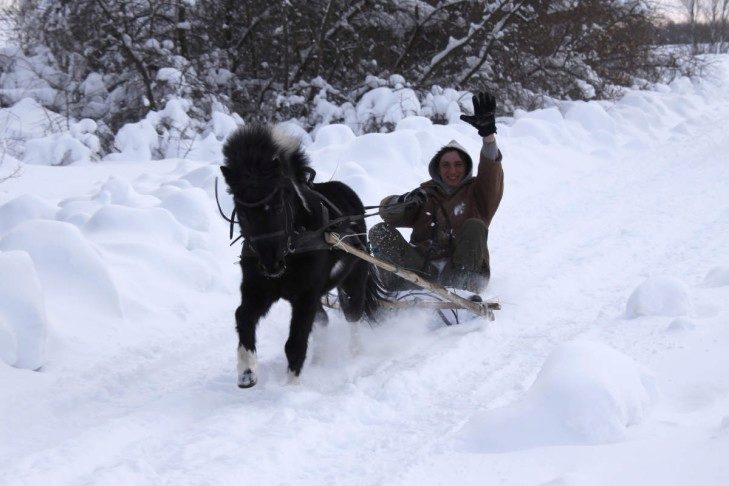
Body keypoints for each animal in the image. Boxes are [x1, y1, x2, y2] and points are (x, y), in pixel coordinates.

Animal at [219, 124, 384, 388]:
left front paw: (291, 387)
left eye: (277, 205)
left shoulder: (306, 295)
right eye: (242, 212)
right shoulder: (259, 290)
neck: (294, 243)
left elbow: (295, 342)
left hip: (354, 280)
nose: (271, 264)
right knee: (324, 321)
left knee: (353, 315)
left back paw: (355, 355)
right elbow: (242, 316)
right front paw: (247, 372)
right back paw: (319, 361)